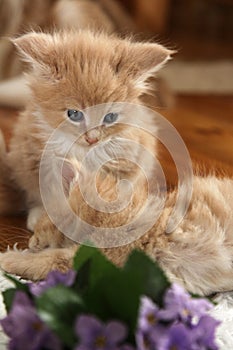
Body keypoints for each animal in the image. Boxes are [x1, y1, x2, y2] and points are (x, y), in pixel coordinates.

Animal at [0, 30, 233, 298]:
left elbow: (52, 261)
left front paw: (9, 258)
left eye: (110, 117)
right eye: (74, 114)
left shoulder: (105, 259)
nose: (32, 241)